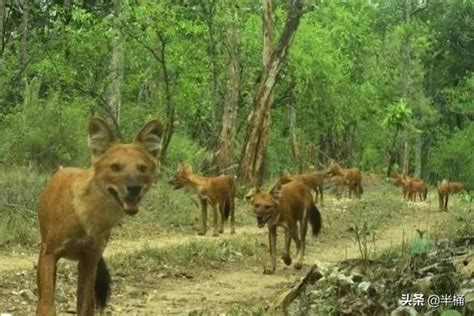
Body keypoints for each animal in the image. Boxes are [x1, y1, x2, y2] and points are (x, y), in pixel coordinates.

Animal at [34, 117, 161, 314]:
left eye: (142, 168)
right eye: (115, 167)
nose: (134, 187)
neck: (93, 217)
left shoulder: (90, 260)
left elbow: (85, 307)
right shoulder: (50, 254)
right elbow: (47, 306)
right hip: (44, 253)